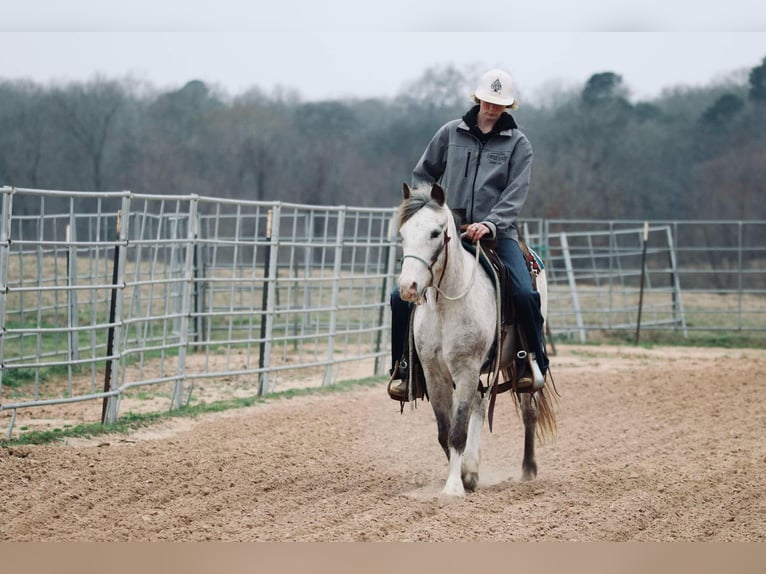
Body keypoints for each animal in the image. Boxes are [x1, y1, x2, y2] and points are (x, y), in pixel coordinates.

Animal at [400, 182, 556, 498]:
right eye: (402, 234)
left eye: (435, 232)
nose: (408, 286)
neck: (445, 306)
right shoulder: (435, 375)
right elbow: (444, 432)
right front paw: (465, 475)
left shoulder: (467, 368)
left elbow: (457, 432)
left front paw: (453, 487)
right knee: (480, 404)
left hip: (521, 367)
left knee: (528, 408)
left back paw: (528, 469)